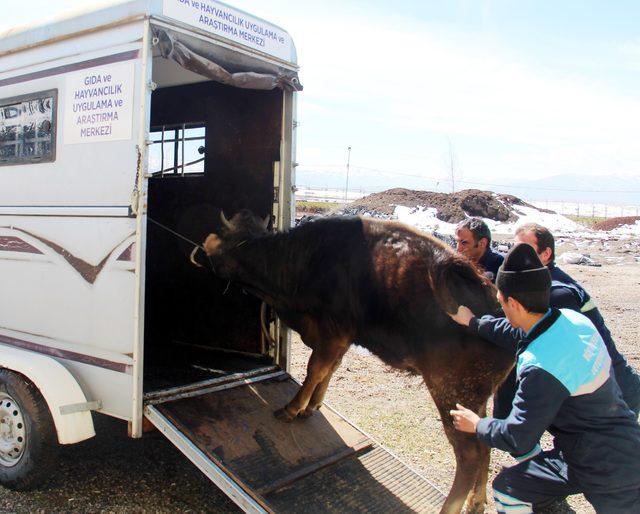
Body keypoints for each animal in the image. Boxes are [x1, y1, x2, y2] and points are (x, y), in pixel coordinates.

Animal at [192, 209, 512, 512]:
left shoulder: (333, 333)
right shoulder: (341, 339)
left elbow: (315, 369)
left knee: (469, 455)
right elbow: (327, 370)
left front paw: (293, 408)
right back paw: (476, 503)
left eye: (221, 232)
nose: (200, 246)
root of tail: (497, 308)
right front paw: (311, 406)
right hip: (475, 399)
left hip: (451, 393)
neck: (298, 258)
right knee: (484, 445)